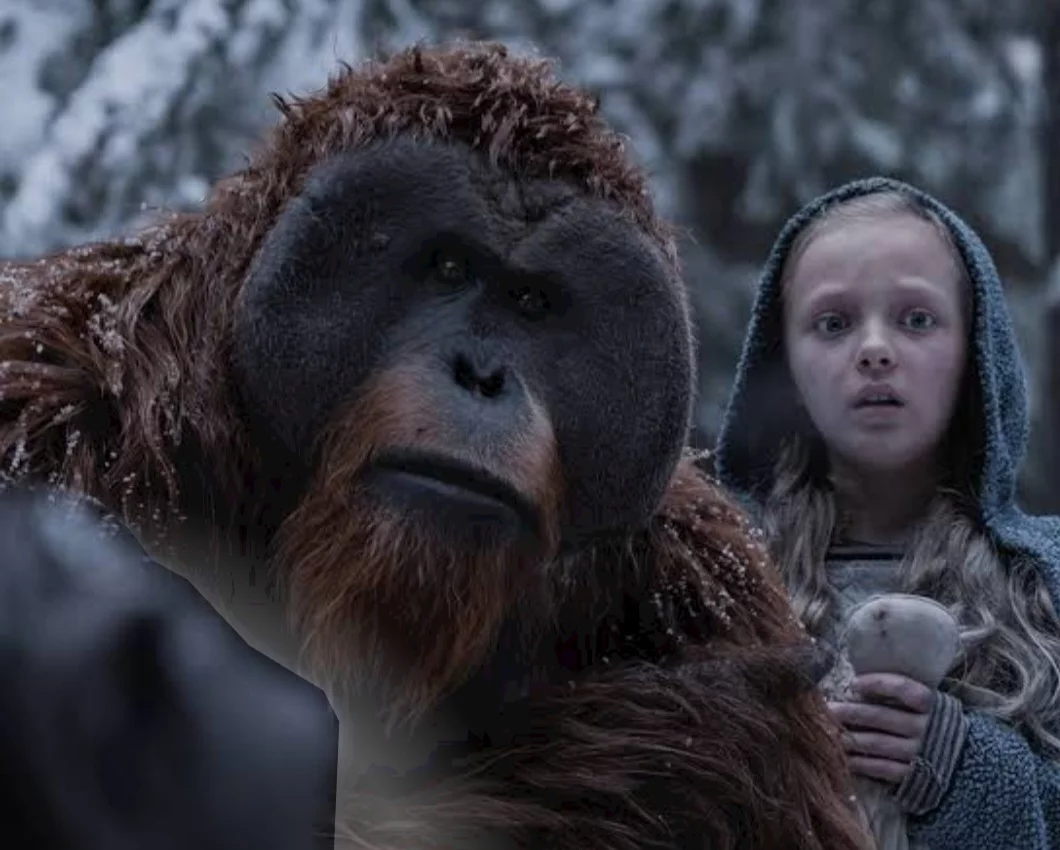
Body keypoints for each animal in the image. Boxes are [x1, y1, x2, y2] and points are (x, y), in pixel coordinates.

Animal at [0, 42, 871, 849]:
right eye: (448, 268)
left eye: (531, 305)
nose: (480, 373)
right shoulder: (49, 417)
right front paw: (694, 736)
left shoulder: (712, 581)